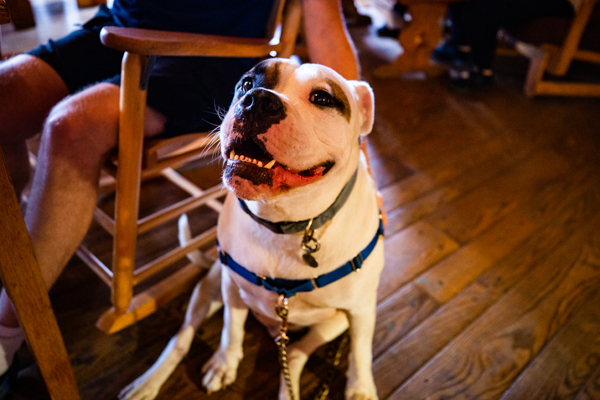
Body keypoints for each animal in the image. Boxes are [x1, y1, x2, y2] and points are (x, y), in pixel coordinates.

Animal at [119, 57, 382, 400]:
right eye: (246, 83)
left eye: (322, 98)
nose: (257, 101)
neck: (287, 223)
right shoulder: (231, 286)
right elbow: (232, 329)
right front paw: (224, 363)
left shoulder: (361, 310)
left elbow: (361, 352)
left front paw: (361, 388)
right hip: (209, 287)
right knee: (181, 339)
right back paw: (148, 382)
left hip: (332, 323)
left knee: (295, 354)